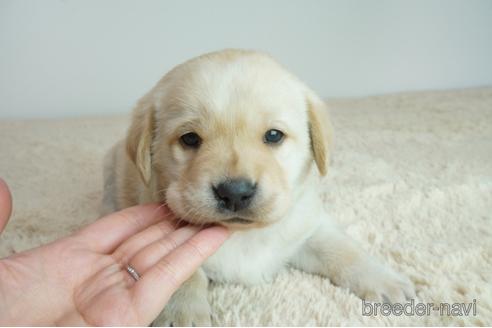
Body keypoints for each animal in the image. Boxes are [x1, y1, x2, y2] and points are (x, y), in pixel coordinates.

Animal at [103, 48, 416, 326]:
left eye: (274, 135)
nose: (234, 193)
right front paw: (182, 314)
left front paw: (384, 279)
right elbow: (184, 273)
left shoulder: (307, 225)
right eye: (189, 139)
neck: (243, 236)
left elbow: (341, 249)